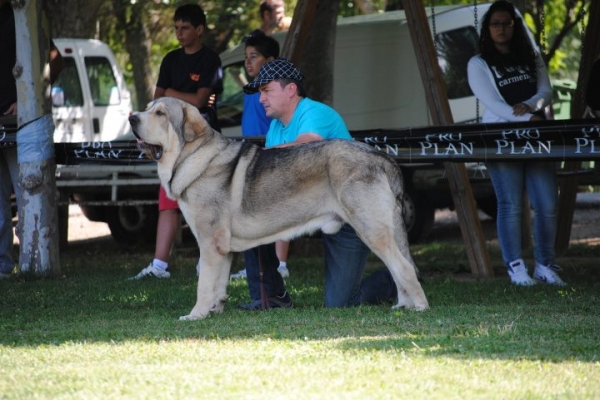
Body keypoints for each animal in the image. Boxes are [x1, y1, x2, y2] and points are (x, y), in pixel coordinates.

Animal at [129, 97, 428, 322]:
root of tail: (382, 157)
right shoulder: (222, 249)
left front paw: (196, 315)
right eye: (147, 108)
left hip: (372, 230)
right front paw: (215, 309)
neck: (191, 157)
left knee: (404, 267)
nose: (132, 117)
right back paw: (403, 305)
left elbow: (204, 285)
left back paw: (420, 307)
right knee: (398, 268)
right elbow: (217, 284)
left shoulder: (210, 243)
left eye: (160, 113)